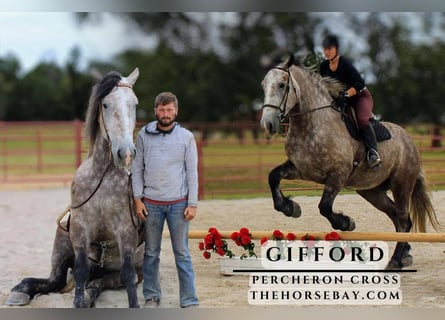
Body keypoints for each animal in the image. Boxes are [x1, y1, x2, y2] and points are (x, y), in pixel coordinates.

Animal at [6, 67, 144, 308]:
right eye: (105, 104)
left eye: (134, 103)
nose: (125, 153)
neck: (102, 179)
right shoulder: (80, 229)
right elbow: (80, 270)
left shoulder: (126, 230)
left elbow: (128, 275)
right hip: (61, 242)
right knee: (55, 280)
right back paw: (19, 291)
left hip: (131, 268)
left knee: (102, 281)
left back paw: (90, 292)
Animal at [260, 53, 440, 268]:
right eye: (263, 85)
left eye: (281, 85)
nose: (268, 124)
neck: (312, 124)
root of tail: (409, 141)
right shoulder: (301, 169)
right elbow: (273, 177)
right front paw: (290, 208)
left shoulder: (338, 175)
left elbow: (324, 207)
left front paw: (346, 222)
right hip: (373, 192)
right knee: (398, 218)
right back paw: (405, 255)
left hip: (402, 185)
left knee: (404, 220)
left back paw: (395, 260)